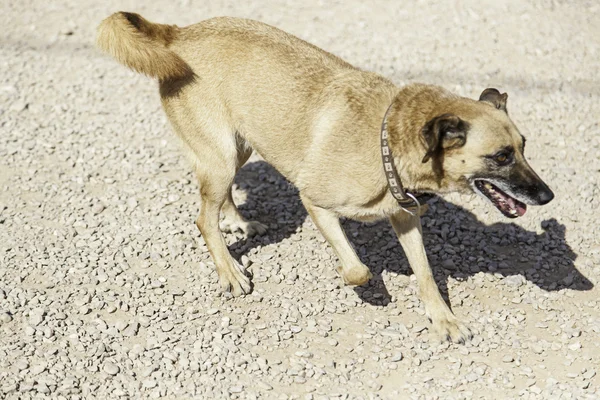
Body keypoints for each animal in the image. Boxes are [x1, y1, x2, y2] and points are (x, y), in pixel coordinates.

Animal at [97, 13, 552, 344]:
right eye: (501, 156)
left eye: (524, 146)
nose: (547, 196)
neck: (386, 138)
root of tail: (179, 34)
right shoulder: (315, 202)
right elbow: (359, 269)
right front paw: (350, 277)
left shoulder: (406, 217)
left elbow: (425, 273)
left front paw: (443, 319)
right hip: (222, 157)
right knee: (202, 219)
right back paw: (229, 271)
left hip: (237, 148)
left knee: (219, 199)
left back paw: (238, 222)